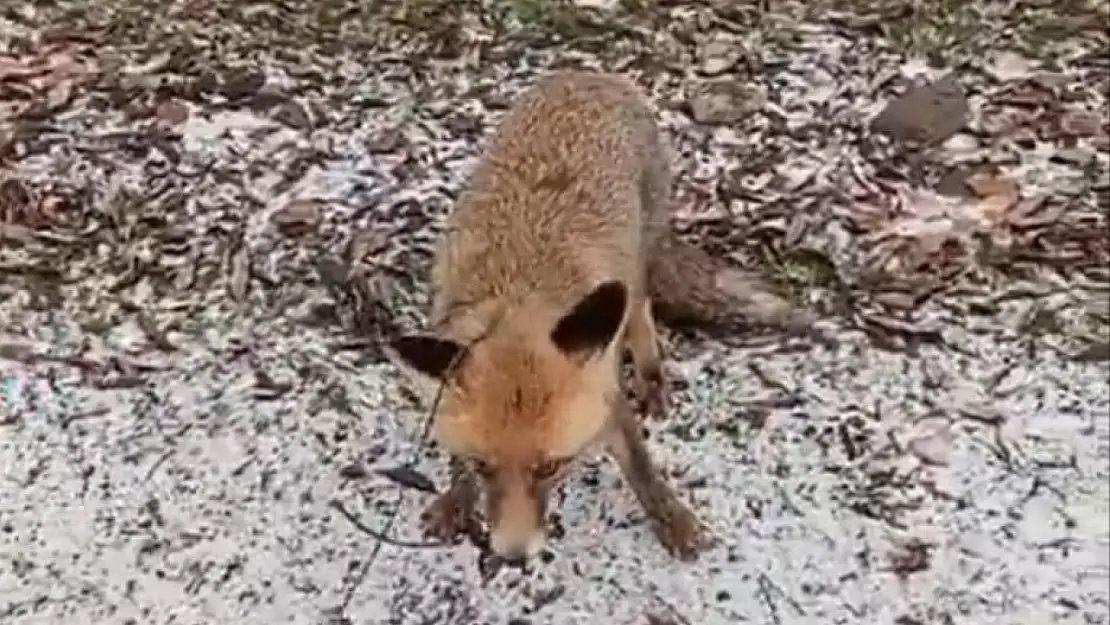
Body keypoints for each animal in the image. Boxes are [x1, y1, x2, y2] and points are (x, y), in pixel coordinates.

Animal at [386, 69, 768, 561]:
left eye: (551, 467)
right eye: (484, 466)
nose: (513, 556)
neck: (517, 299)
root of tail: (591, 74)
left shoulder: (603, 391)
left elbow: (640, 466)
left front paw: (673, 519)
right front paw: (457, 496)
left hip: (636, 266)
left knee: (641, 312)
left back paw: (652, 376)